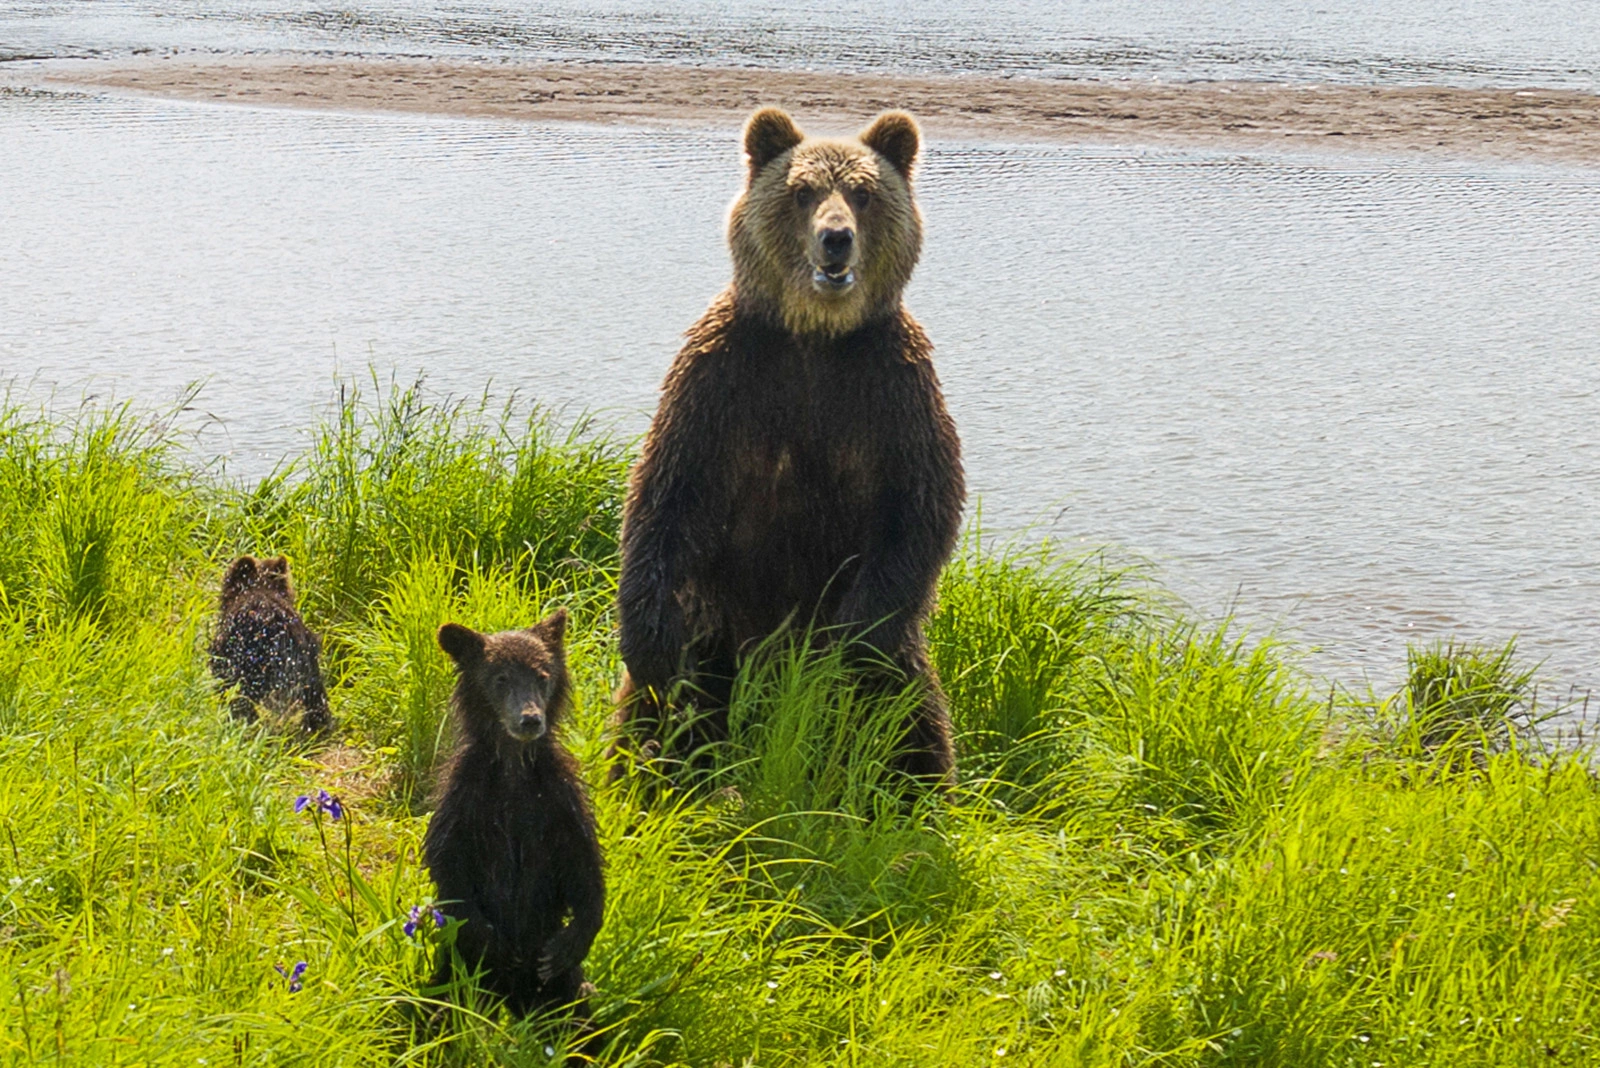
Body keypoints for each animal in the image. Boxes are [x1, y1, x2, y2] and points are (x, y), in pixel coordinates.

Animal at [425, 607, 601, 1016]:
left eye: (543, 675)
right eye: (500, 678)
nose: (530, 719)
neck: (513, 766)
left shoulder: (557, 798)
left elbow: (583, 863)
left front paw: (566, 944)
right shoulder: (467, 796)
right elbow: (448, 861)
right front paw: (494, 943)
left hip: (559, 990)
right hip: (453, 969)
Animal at [611, 106, 960, 783]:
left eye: (863, 193)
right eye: (802, 192)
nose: (836, 238)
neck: (815, 336)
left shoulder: (891, 391)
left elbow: (918, 509)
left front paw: (847, 646)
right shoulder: (724, 381)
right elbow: (665, 495)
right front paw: (648, 639)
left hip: (902, 667)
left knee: (913, 724)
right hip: (715, 633)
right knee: (657, 716)